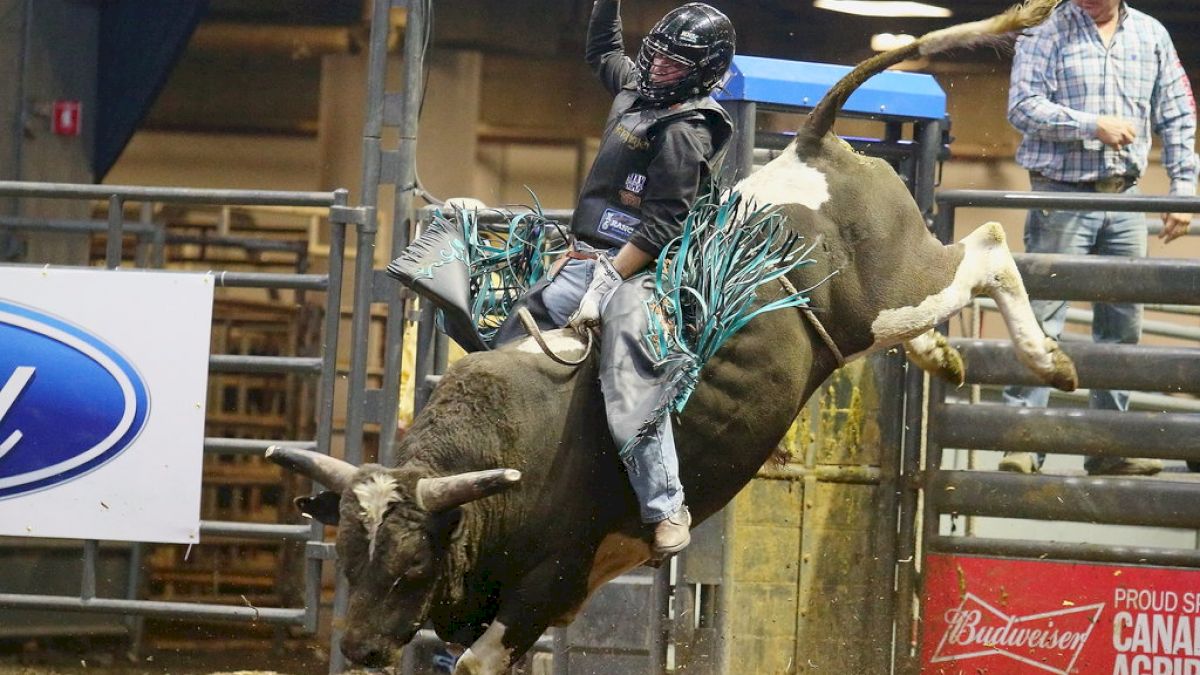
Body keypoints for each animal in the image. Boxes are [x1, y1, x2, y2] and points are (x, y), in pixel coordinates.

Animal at [270, 2, 1080, 667]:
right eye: (348, 557)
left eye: (410, 567)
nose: (359, 648)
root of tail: (810, 147)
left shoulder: (548, 581)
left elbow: (478, 658)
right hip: (881, 311)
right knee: (942, 294)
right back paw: (943, 354)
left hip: (895, 290)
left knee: (988, 246)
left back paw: (1053, 361)